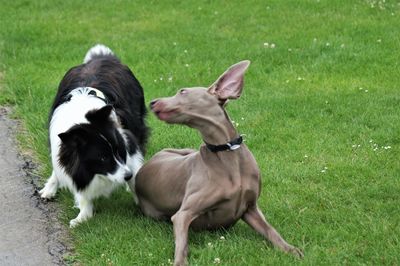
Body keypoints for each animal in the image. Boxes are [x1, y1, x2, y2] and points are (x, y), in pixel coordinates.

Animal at [39, 44, 148, 227]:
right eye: (102, 158)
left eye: (118, 151)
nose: (127, 175)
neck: (80, 120)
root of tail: (102, 57)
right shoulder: (70, 157)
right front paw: (83, 215)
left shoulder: (128, 142)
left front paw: (141, 201)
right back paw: (50, 188)